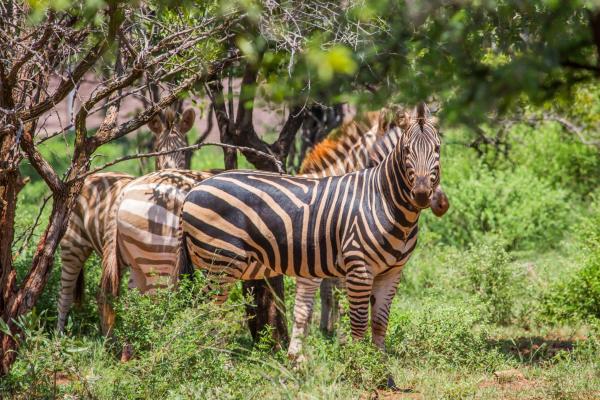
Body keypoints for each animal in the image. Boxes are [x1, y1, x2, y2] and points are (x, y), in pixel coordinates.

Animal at [56, 107, 197, 334]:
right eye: (156, 149)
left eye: (184, 151)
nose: (170, 172)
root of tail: (87, 177)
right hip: (73, 243)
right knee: (65, 295)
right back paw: (59, 337)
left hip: (114, 258)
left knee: (104, 296)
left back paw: (108, 337)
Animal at [177, 103, 440, 354]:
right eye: (407, 150)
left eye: (437, 149)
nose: (422, 195)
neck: (381, 199)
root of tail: (193, 190)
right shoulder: (357, 267)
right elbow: (354, 320)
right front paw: (355, 362)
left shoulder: (391, 272)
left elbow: (378, 323)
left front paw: (380, 365)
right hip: (220, 263)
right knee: (205, 311)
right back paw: (214, 359)